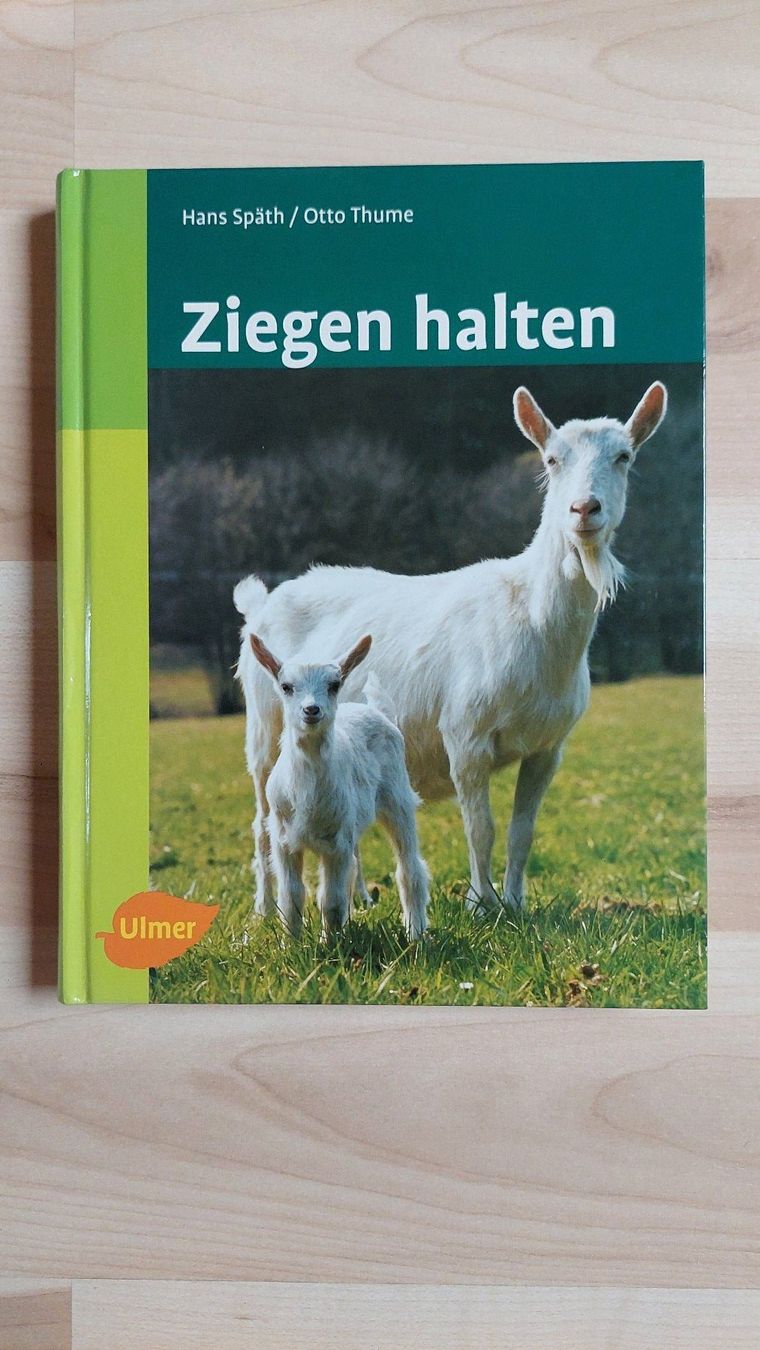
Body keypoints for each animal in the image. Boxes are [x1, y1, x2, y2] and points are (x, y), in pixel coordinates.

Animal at [247, 632, 429, 939]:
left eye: (334, 685)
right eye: (286, 687)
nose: (311, 710)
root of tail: (374, 710)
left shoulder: (336, 842)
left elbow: (330, 899)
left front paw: (330, 944)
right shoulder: (284, 840)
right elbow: (292, 896)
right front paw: (293, 944)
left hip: (398, 799)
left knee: (409, 869)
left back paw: (415, 933)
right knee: (354, 871)